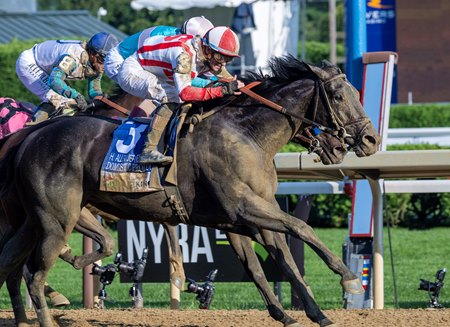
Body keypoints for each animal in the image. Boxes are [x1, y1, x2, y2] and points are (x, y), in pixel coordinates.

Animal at [0, 57, 378, 326]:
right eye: (340, 96)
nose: (370, 140)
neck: (246, 134)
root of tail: (27, 138)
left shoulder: (241, 220)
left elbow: (273, 263)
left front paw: (305, 314)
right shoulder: (243, 207)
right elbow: (301, 228)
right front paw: (347, 279)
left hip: (32, 220)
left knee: (11, 264)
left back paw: (23, 317)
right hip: (56, 220)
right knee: (34, 274)